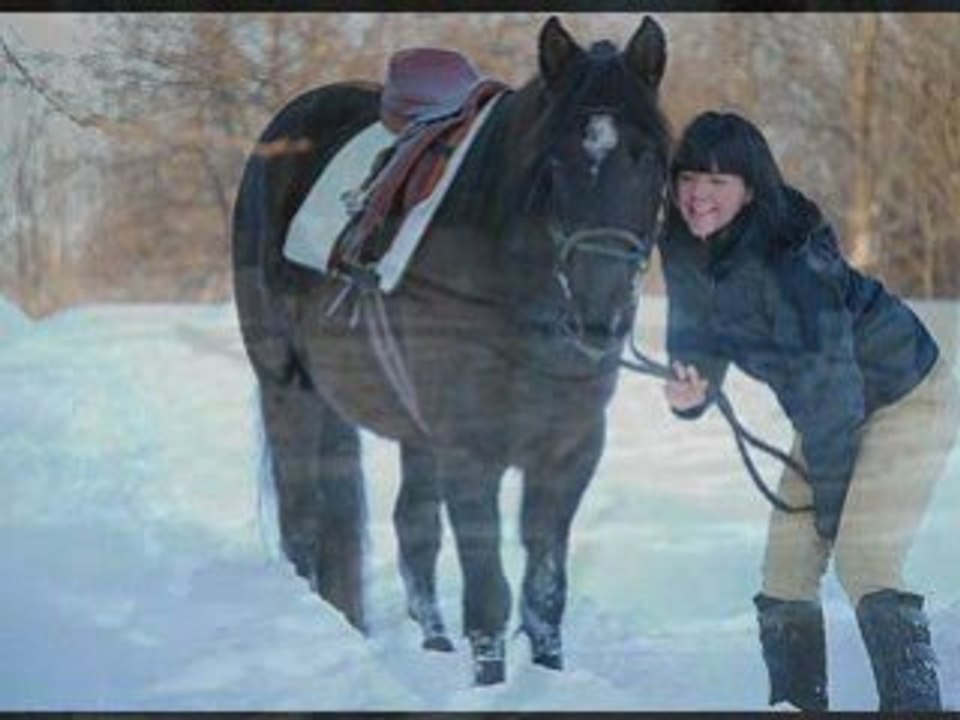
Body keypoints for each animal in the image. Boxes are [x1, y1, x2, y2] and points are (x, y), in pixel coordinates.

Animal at [232, 16, 670, 685]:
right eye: (554, 163)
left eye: (648, 158)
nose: (599, 317)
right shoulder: (471, 453)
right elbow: (489, 594)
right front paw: (491, 684)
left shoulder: (567, 454)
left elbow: (544, 593)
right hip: (288, 389)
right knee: (304, 524)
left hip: (405, 425)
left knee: (410, 528)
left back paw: (431, 645)